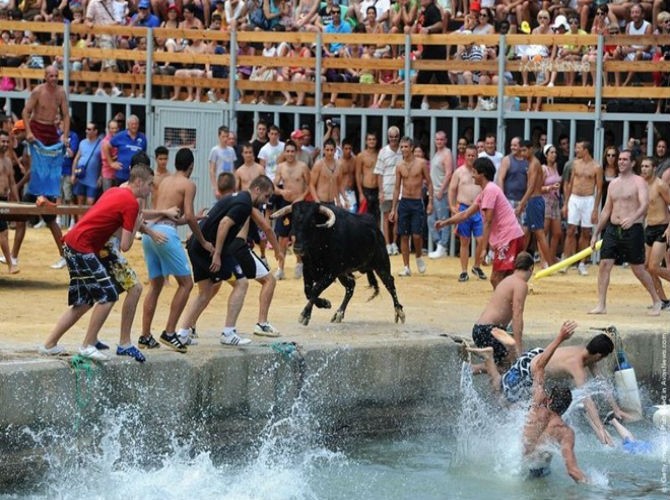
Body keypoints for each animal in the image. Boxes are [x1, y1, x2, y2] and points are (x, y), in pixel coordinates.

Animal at [270, 201, 406, 326]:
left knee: (390, 283)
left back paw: (399, 312)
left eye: (312, 222)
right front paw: (324, 304)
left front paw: (305, 314)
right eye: (293, 220)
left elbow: (315, 289)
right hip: (344, 272)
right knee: (351, 286)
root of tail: (376, 228)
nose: (298, 248)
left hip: (381, 264)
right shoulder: (308, 269)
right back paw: (339, 314)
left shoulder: (331, 272)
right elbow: (308, 291)